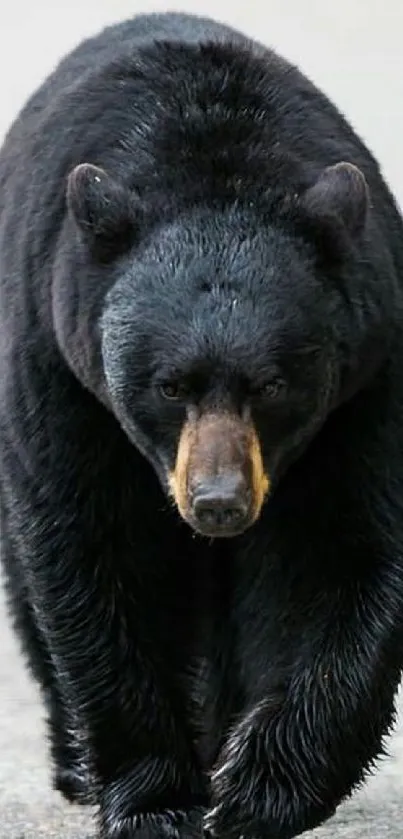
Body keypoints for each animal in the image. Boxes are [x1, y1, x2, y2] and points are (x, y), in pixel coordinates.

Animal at [0, 8, 403, 839]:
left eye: (271, 384)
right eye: (169, 384)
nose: (218, 501)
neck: (212, 166)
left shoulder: (363, 382)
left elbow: (344, 549)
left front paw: (259, 786)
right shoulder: (59, 370)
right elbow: (96, 553)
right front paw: (156, 800)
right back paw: (77, 762)